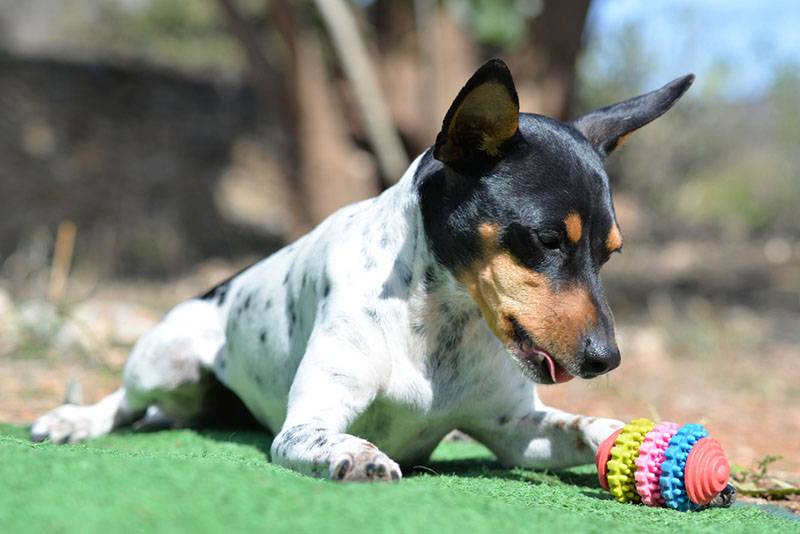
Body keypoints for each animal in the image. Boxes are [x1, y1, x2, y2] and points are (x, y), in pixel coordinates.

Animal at [31, 60, 692, 484]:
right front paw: (360, 454)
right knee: (125, 402)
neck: (440, 326)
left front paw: (627, 436)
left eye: (610, 253)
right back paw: (73, 419)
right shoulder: (304, 425)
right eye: (548, 240)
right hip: (163, 359)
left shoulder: (514, 431)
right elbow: (332, 437)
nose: (608, 359)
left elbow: (585, 426)